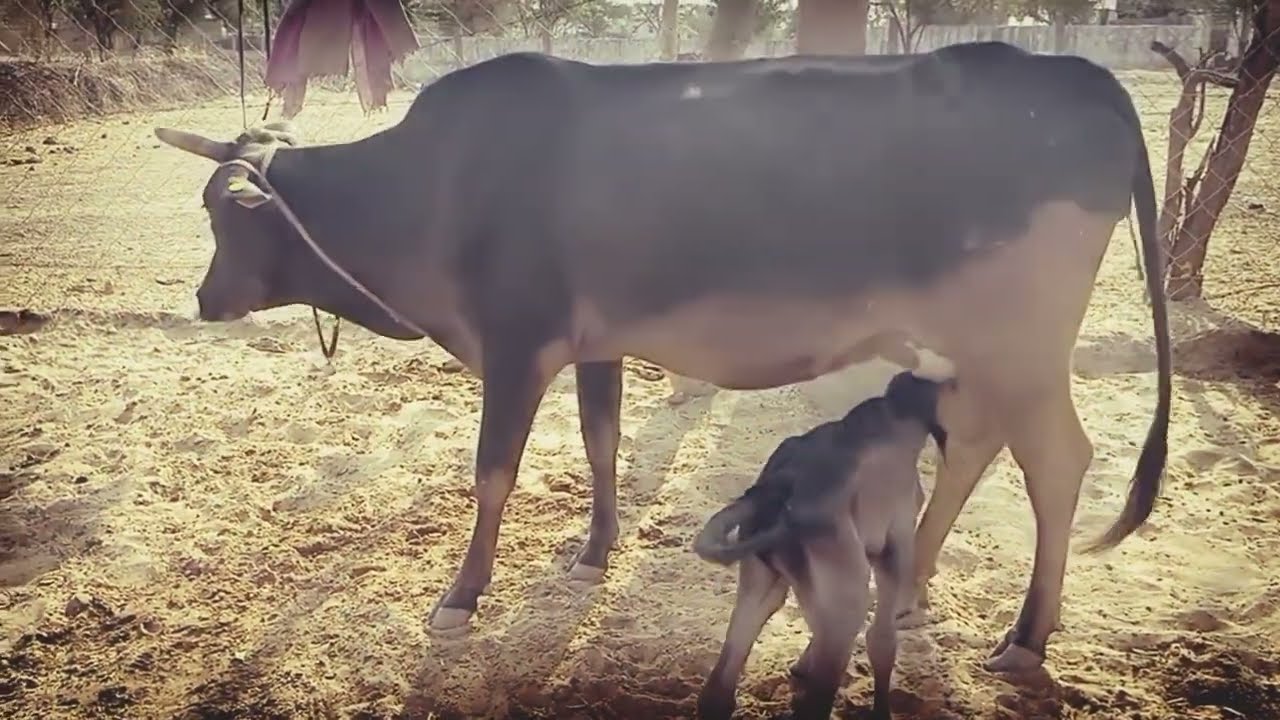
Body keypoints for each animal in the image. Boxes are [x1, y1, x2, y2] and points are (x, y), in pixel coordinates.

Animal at [152, 40, 1172, 672]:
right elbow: (601, 443)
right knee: (974, 446)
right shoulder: (593, 344)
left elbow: (494, 476)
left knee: (1058, 463)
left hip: (1023, 348)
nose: (204, 299)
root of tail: (1082, 75)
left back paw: (1027, 639)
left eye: (218, 211)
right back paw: (914, 589)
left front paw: (463, 596)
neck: (434, 185)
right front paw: (595, 550)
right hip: (972, 354)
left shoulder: (517, 343)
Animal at [693, 371, 949, 720]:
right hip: (848, 598)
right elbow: (882, 640)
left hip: (762, 580)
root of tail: (778, 487)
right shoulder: (894, 545)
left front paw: (801, 668)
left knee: (718, 691)